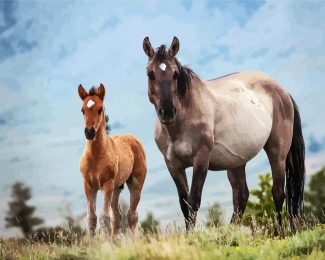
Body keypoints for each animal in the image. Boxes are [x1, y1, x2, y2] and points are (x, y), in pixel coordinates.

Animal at [142, 35, 304, 237]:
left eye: (175, 74)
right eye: (150, 74)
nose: (167, 112)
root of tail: (283, 91)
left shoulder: (201, 158)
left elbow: (194, 200)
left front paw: (192, 237)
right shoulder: (173, 164)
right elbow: (184, 203)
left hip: (277, 152)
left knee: (278, 193)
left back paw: (280, 233)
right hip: (236, 162)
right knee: (241, 196)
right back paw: (230, 232)